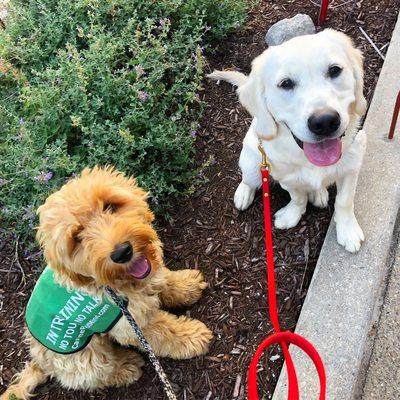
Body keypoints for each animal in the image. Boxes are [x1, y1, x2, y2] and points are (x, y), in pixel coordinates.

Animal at [0, 167, 212, 398]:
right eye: (77, 237)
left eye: (110, 206)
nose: (122, 252)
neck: (118, 285)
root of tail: (39, 361)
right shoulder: (131, 326)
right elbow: (165, 332)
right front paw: (192, 337)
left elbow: (164, 280)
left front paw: (186, 285)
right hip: (84, 358)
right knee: (97, 375)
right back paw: (126, 367)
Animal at [211, 29, 368, 252]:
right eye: (285, 84)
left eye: (335, 70)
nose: (325, 122)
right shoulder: (285, 177)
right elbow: (297, 197)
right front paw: (292, 215)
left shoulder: (352, 166)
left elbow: (344, 201)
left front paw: (347, 230)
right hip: (252, 163)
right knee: (249, 179)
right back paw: (243, 192)